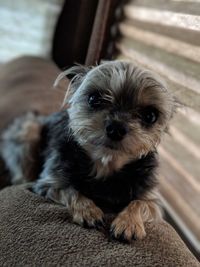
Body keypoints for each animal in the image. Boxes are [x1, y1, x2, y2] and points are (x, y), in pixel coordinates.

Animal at [0, 60, 176, 243]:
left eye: (150, 116)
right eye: (94, 99)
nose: (116, 128)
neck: (105, 162)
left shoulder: (151, 198)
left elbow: (139, 203)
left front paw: (129, 223)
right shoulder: (49, 183)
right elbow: (70, 189)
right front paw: (88, 210)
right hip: (30, 130)